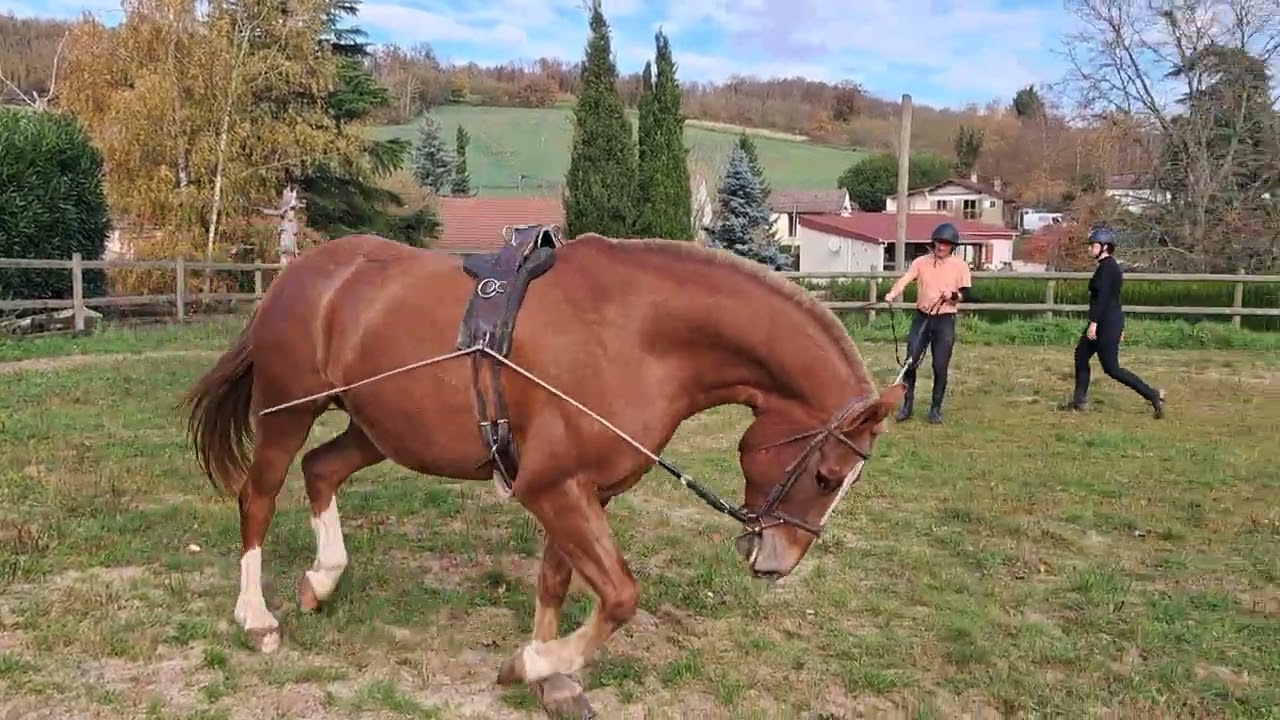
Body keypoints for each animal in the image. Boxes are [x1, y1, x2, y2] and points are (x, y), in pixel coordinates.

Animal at [183, 230, 904, 715]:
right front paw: (531, 663)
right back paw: (256, 616)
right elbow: (621, 596)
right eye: (827, 476)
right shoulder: (551, 487)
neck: (637, 335)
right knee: (258, 497)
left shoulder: (583, 491)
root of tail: (297, 274)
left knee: (321, 470)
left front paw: (551, 678)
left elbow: (559, 581)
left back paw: (322, 580)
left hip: (379, 429)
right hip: (287, 412)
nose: (776, 561)